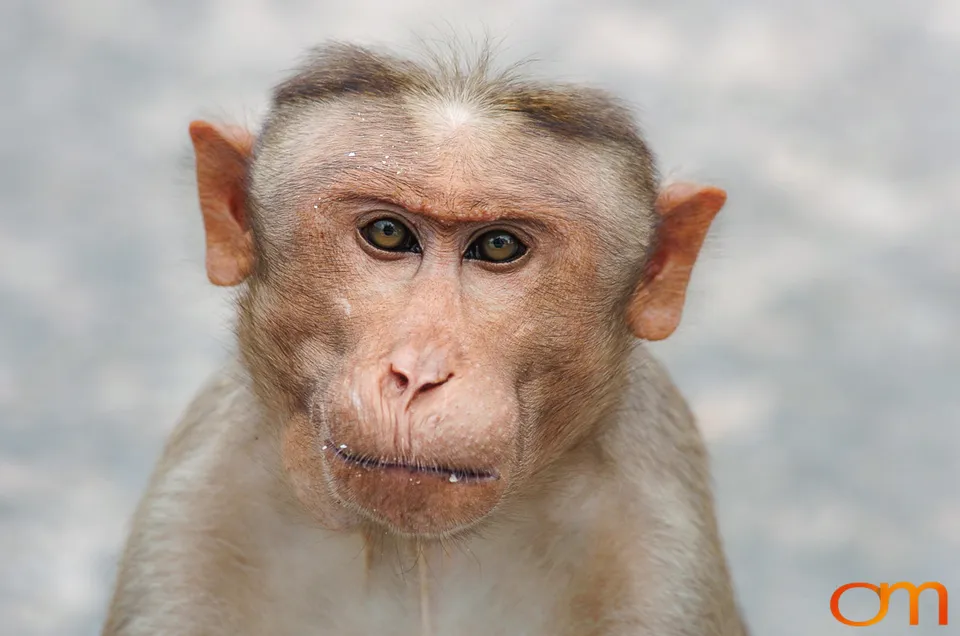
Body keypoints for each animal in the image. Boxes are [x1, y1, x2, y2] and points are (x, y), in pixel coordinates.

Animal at [101, 41, 749, 636]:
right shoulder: (191, 515)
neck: (409, 551)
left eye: (498, 246)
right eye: (388, 233)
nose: (418, 374)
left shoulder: (661, 552)